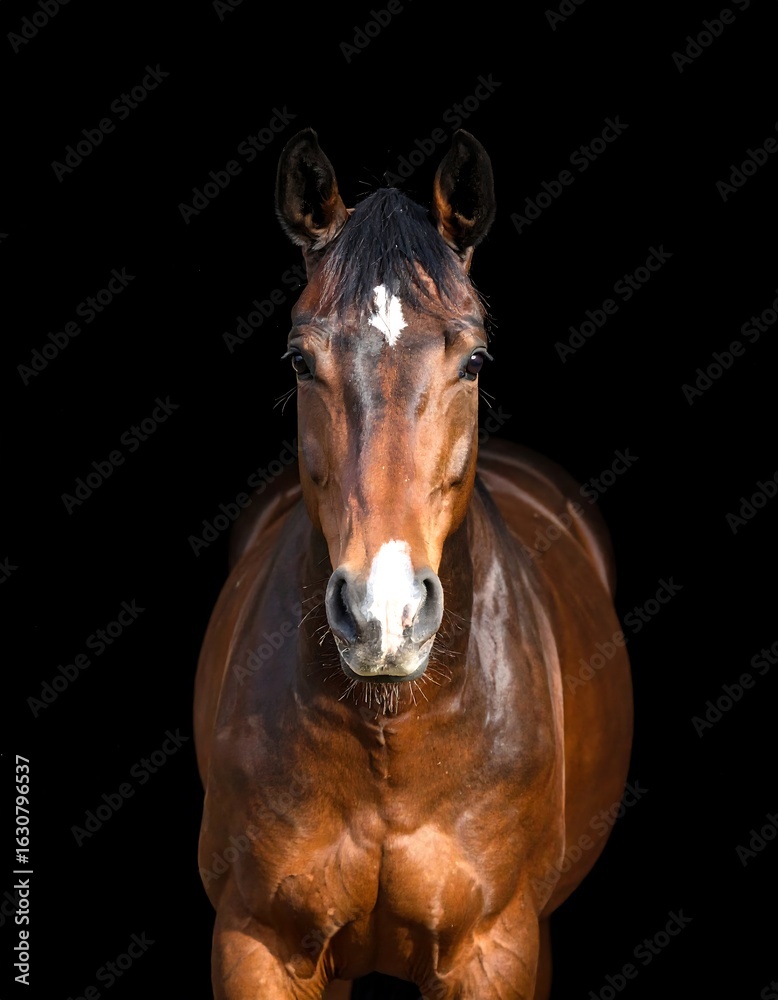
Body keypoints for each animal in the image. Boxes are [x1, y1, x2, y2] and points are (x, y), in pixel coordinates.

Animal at [194, 127, 633, 999]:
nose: (384, 615)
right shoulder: (258, 944)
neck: (389, 738)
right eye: (299, 360)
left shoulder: (494, 951)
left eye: (475, 359)